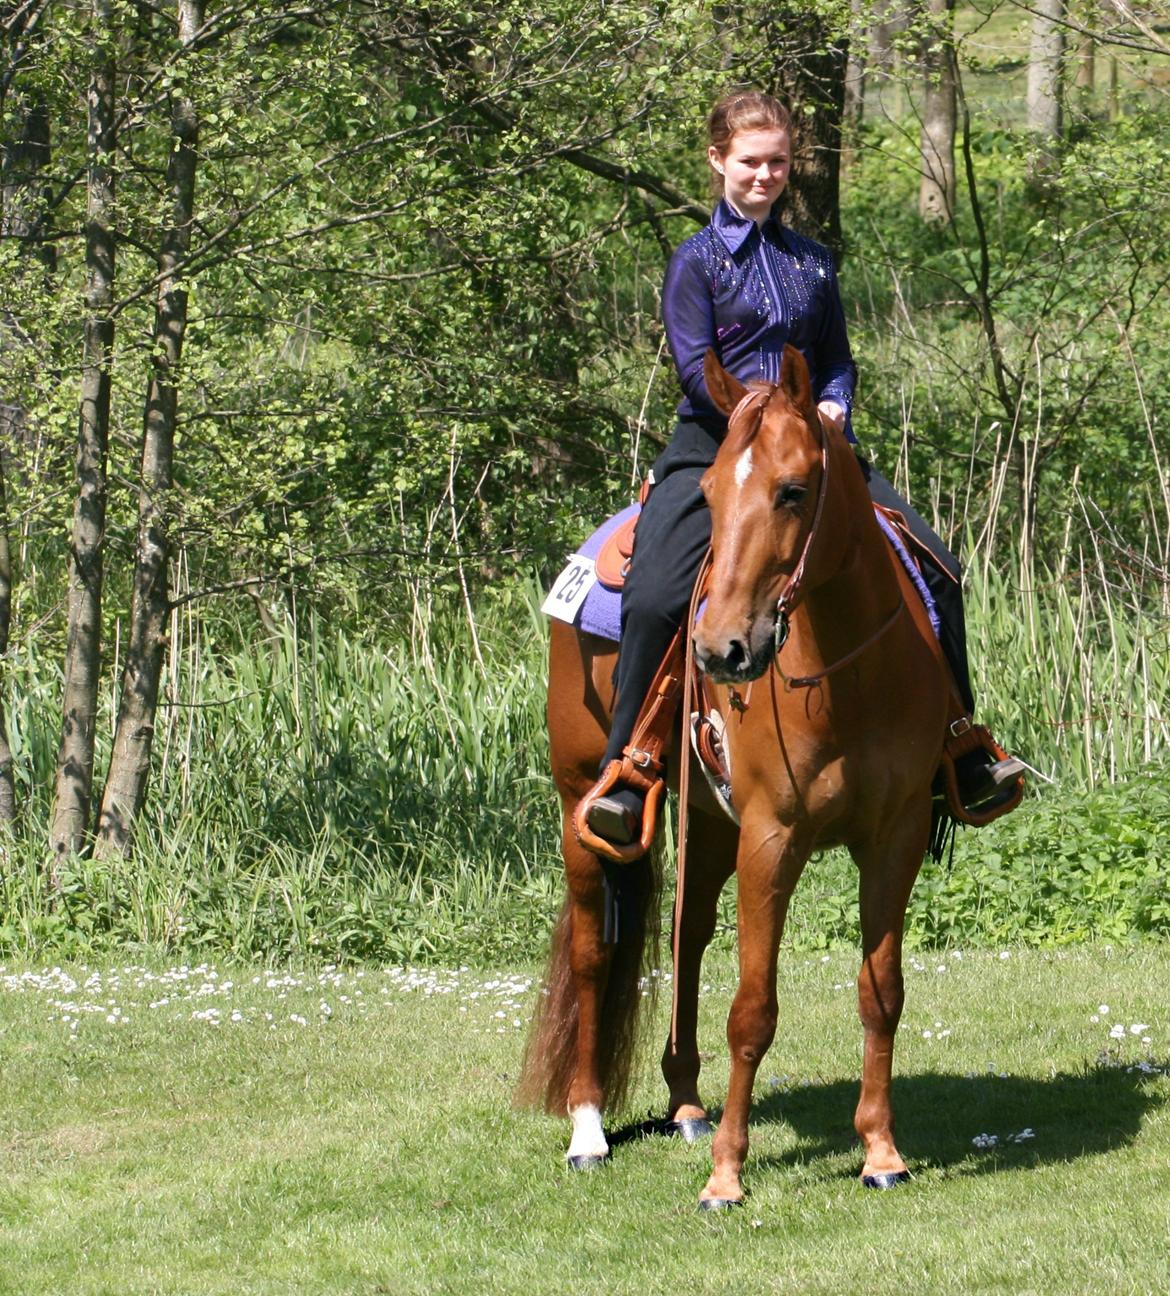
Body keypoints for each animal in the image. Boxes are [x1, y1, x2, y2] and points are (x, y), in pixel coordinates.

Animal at [520, 347, 953, 1213]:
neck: (843, 675)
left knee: (685, 935)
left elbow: (881, 991)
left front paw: (881, 1151)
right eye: (713, 494)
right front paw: (726, 1174)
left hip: (711, 824)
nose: (722, 650)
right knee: (592, 952)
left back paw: (687, 1104)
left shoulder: (895, 837)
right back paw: (588, 1129)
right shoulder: (771, 839)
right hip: (584, 807)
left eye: (793, 490)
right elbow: (752, 1011)